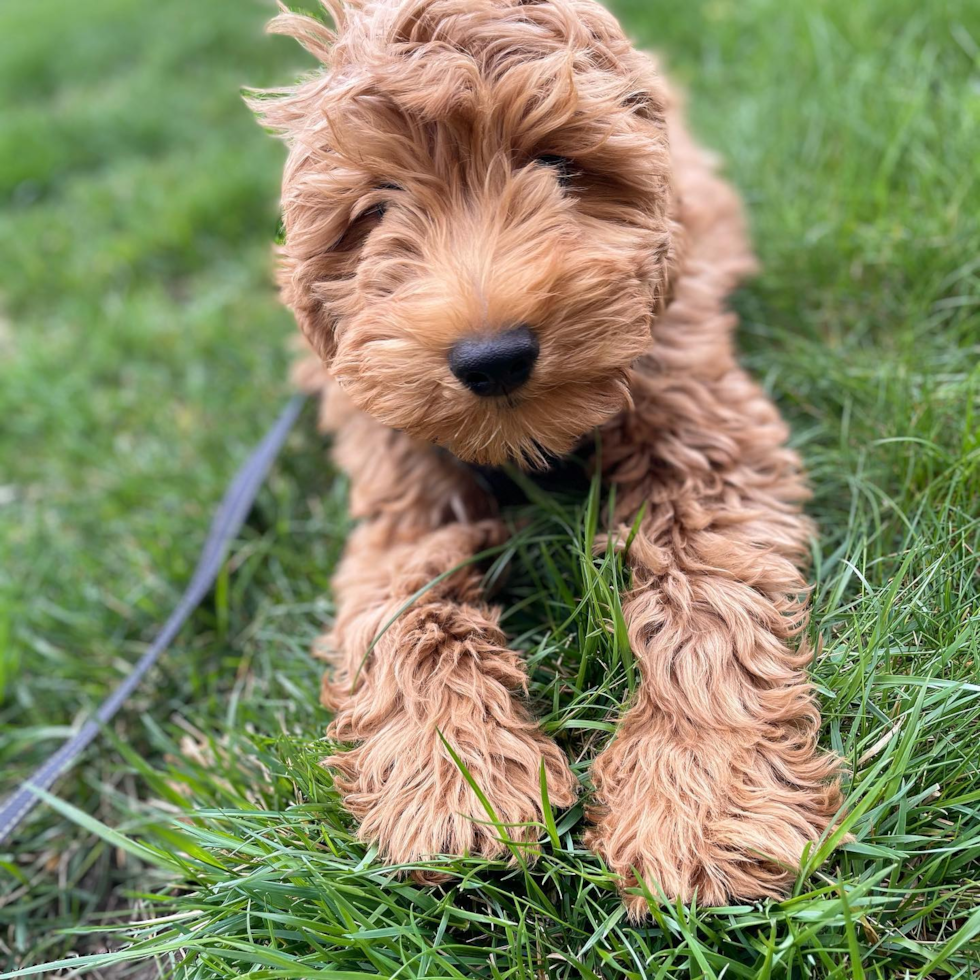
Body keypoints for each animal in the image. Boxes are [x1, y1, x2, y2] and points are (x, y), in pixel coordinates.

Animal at [253, 0, 844, 916]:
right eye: (377, 206)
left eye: (560, 165)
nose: (493, 357)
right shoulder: (398, 478)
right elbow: (405, 610)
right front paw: (452, 784)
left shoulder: (704, 429)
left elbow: (708, 601)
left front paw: (701, 804)